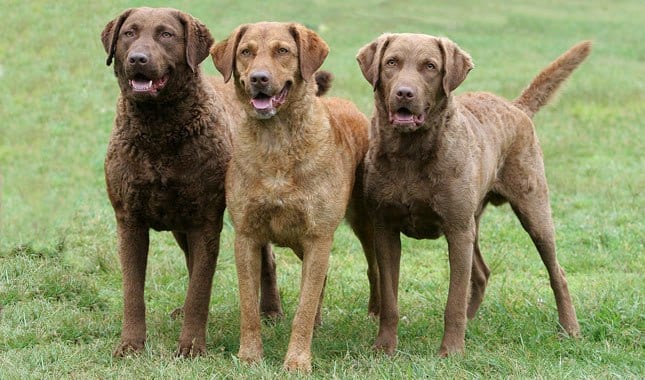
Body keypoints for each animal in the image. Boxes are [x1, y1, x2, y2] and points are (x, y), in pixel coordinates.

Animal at [100, 8, 282, 360]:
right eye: (129, 33)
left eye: (166, 34)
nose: (137, 58)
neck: (158, 131)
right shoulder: (129, 220)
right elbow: (133, 291)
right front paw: (130, 345)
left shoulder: (206, 222)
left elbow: (200, 289)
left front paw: (192, 346)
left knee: (265, 260)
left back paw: (270, 311)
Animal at [209, 23, 380, 372]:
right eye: (245, 52)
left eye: (283, 51)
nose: (259, 78)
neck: (276, 143)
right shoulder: (246, 235)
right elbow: (249, 306)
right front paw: (249, 356)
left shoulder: (318, 236)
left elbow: (303, 306)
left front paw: (298, 361)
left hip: (363, 220)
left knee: (373, 268)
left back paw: (375, 312)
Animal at [358, 35, 588, 356]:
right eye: (391, 62)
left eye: (430, 66)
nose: (404, 93)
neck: (410, 155)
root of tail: (515, 107)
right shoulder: (385, 228)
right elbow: (390, 298)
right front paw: (384, 347)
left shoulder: (456, 229)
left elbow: (453, 299)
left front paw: (451, 351)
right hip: (473, 222)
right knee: (481, 273)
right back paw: (471, 322)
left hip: (533, 211)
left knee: (558, 273)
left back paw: (570, 329)